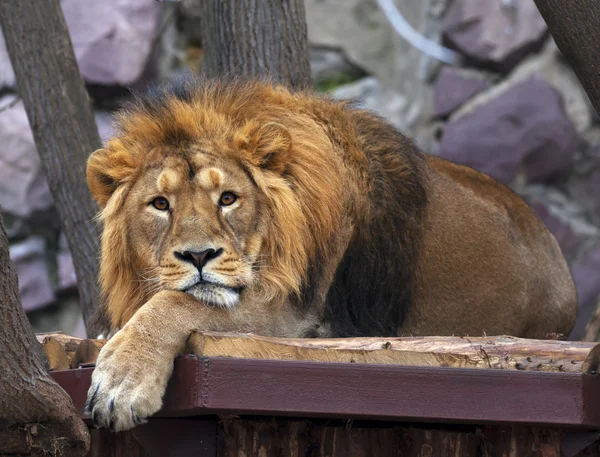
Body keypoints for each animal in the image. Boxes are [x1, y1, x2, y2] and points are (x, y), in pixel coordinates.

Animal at [84, 75, 576, 432]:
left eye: (228, 198)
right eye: (160, 204)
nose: (199, 256)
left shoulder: (297, 317)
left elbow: (176, 303)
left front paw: (122, 382)